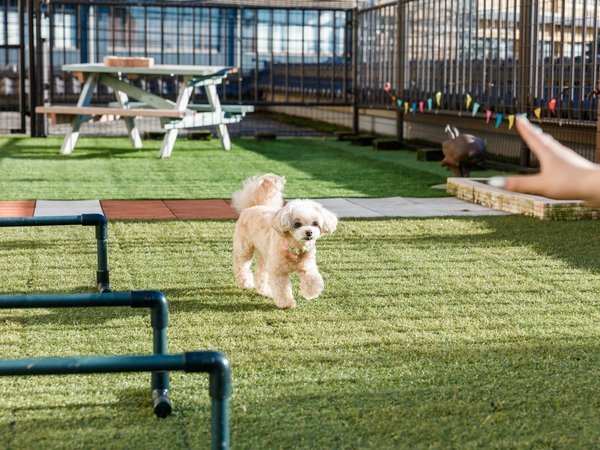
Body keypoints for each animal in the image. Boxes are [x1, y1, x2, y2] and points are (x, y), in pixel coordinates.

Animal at [232, 173, 338, 310]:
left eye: (315, 223)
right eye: (297, 224)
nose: (309, 232)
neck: (295, 248)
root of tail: (253, 206)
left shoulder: (307, 266)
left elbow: (314, 279)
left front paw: (310, 293)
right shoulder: (279, 271)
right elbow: (282, 288)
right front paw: (286, 303)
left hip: (266, 256)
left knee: (260, 273)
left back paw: (265, 291)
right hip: (245, 248)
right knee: (241, 265)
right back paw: (245, 283)